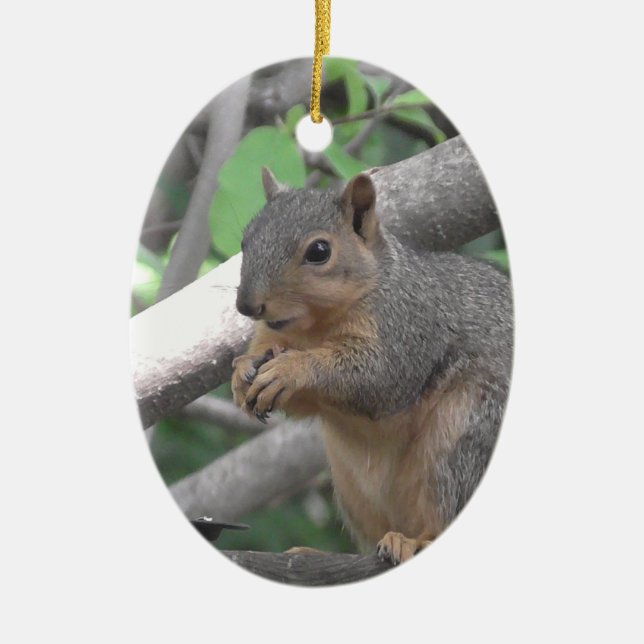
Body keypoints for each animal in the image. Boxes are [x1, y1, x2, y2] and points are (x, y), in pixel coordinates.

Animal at [231, 167, 513, 565]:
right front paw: (240, 373)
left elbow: (379, 380)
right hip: (353, 488)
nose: (247, 305)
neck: (314, 327)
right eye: (246, 240)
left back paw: (414, 541)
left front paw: (292, 369)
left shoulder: (408, 328)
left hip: (462, 435)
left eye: (319, 251)